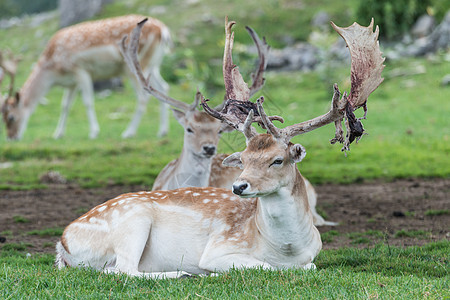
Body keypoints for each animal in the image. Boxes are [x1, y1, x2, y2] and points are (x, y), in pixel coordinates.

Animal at [1, 14, 172, 140]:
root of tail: (164, 30)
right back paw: (162, 131)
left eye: (11, 117)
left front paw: (94, 132)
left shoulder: (80, 70)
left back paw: (128, 132)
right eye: (2, 118)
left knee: (143, 97)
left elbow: (87, 102)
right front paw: (58, 134)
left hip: (134, 66)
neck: (54, 72)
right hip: (152, 65)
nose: (11, 137)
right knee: (163, 87)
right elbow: (65, 105)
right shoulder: (71, 83)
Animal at [55, 17, 384, 278]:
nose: (239, 186)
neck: (286, 249)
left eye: (277, 160)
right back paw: (182, 273)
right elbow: (264, 266)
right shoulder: (220, 248)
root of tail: (63, 244)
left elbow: (309, 266)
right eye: (245, 159)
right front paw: (209, 272)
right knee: (122, 269)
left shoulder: (312, 257)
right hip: (132, 222)